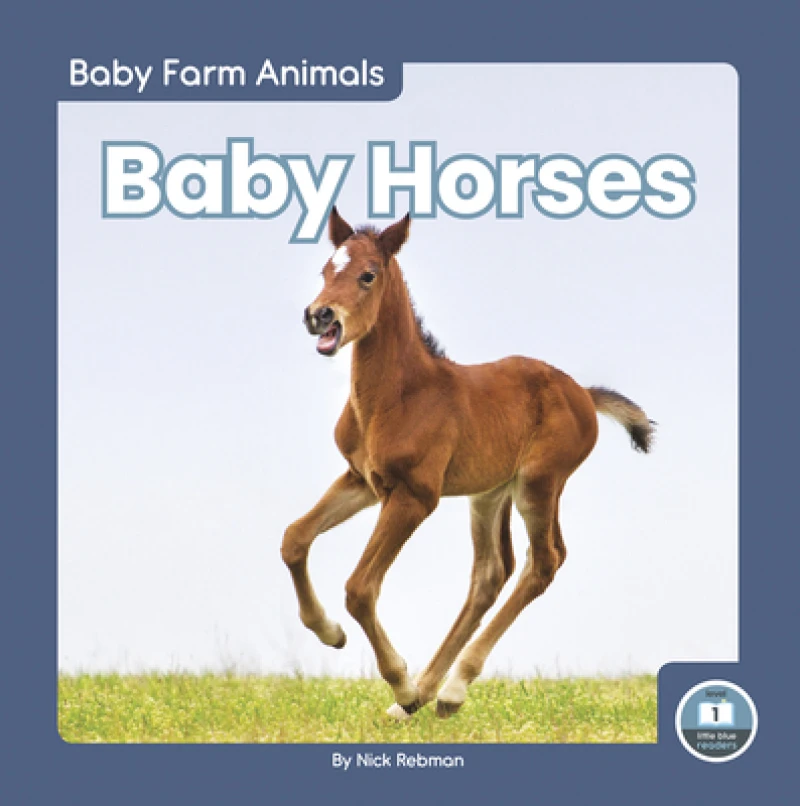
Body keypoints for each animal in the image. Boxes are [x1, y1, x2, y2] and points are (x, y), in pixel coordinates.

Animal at [281, 208, 655, 719]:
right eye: (325, 270)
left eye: (367, 275)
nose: (319, 315)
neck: (398, 396)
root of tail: (582, 393)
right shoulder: (361, 480)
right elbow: (294, 538)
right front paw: (330, 633)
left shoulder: (416, 496)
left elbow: (360, 588)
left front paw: (399, 682)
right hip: (489, 493)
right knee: (491, 572)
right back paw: (424, 696)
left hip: (539, 482)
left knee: (545, 561)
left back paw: (447, 690)